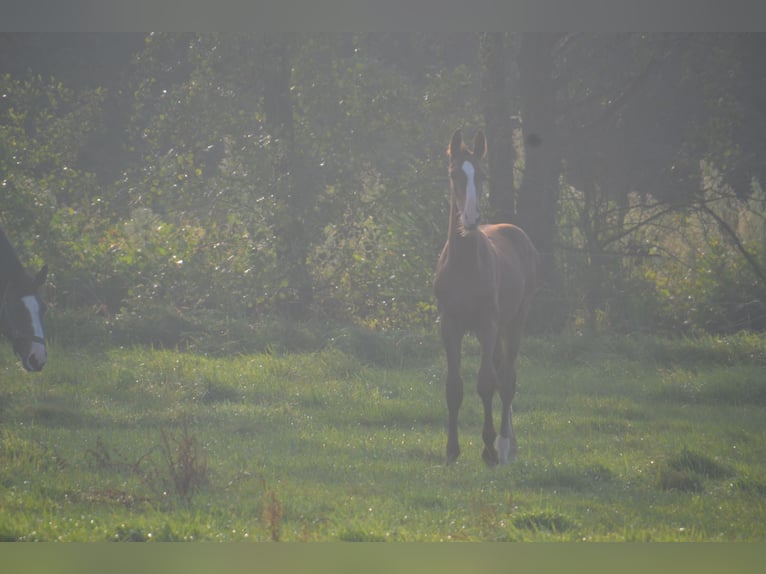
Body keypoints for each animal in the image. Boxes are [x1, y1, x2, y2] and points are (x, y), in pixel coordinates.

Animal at [438, 130, 540, 468]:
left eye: (481, 175)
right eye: (454, 173)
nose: (470, 218)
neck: (465, 266)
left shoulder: (488, 324)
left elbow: (485, 383)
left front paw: (489, 450)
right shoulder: (450, 326)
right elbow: (454, 387)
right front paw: (452, 450)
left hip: (514, 321)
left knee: (506, 379)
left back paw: (505, 444)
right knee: (500, 374)